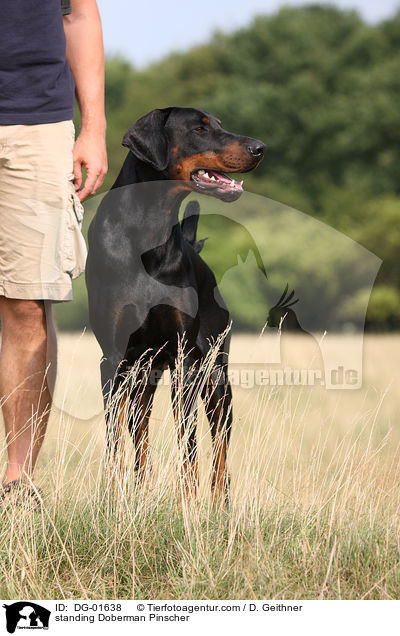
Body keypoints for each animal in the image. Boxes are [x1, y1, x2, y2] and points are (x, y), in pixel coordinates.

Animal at [85, 107, 266, 500]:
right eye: (199, 128)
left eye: (219, 123)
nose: (260, 147)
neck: (147, 233)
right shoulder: (112, 358)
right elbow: (114, 440)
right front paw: (112, 497)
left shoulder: (184, 360)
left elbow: (189, 440)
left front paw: (188, 502)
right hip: (143, 375)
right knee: (139, 436)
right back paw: (140, 492)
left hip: (215, 375)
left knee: (220, 446)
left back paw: (219, 503)